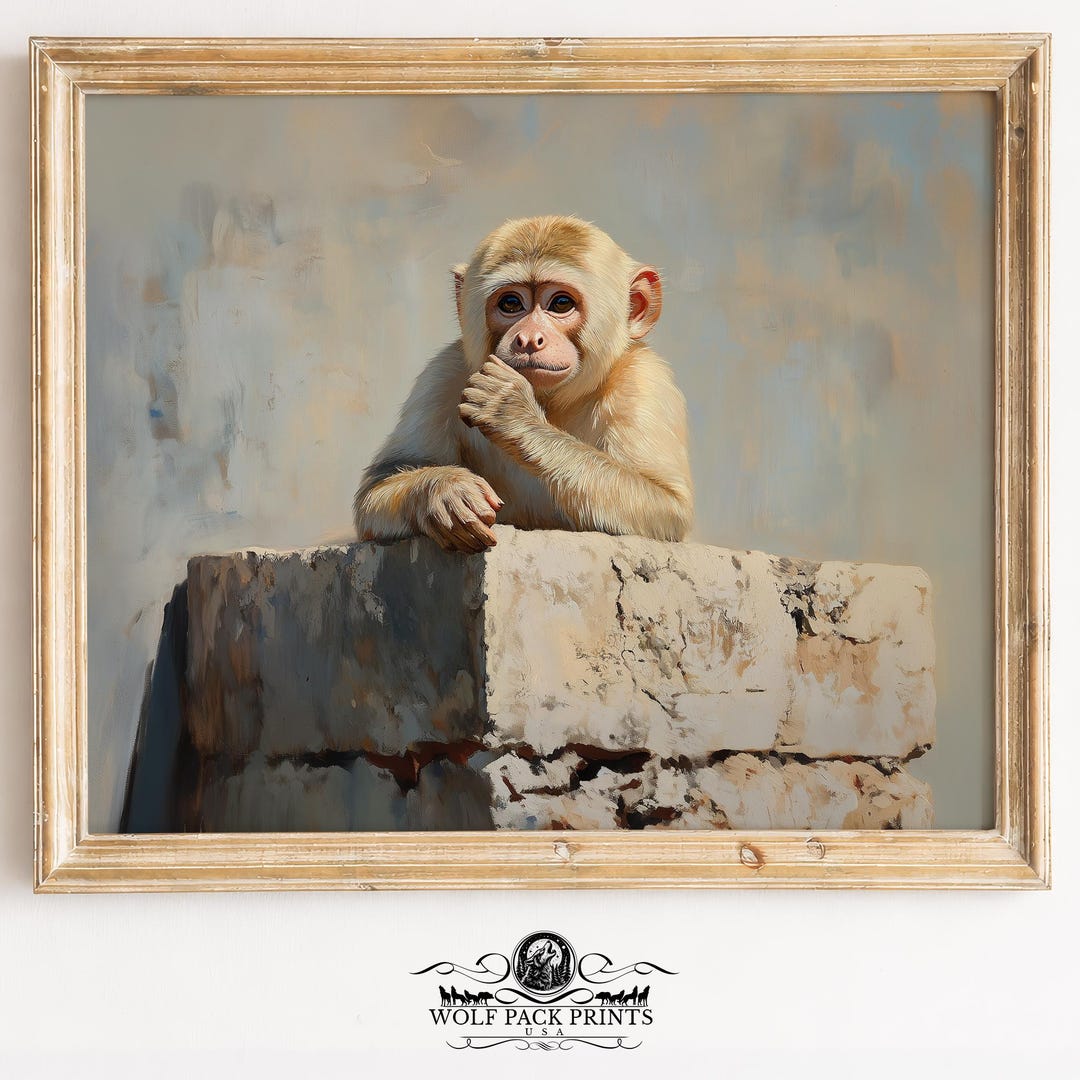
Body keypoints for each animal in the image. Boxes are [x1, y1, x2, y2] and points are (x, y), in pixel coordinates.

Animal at [353, 215, 693, 553]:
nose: (529, 338)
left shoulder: (643, 381)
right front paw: (446, 489)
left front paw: (511, 411)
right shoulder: (442, 373)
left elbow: (666, 508)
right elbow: (380, 484)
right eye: (511, 304)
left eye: (561, 304)